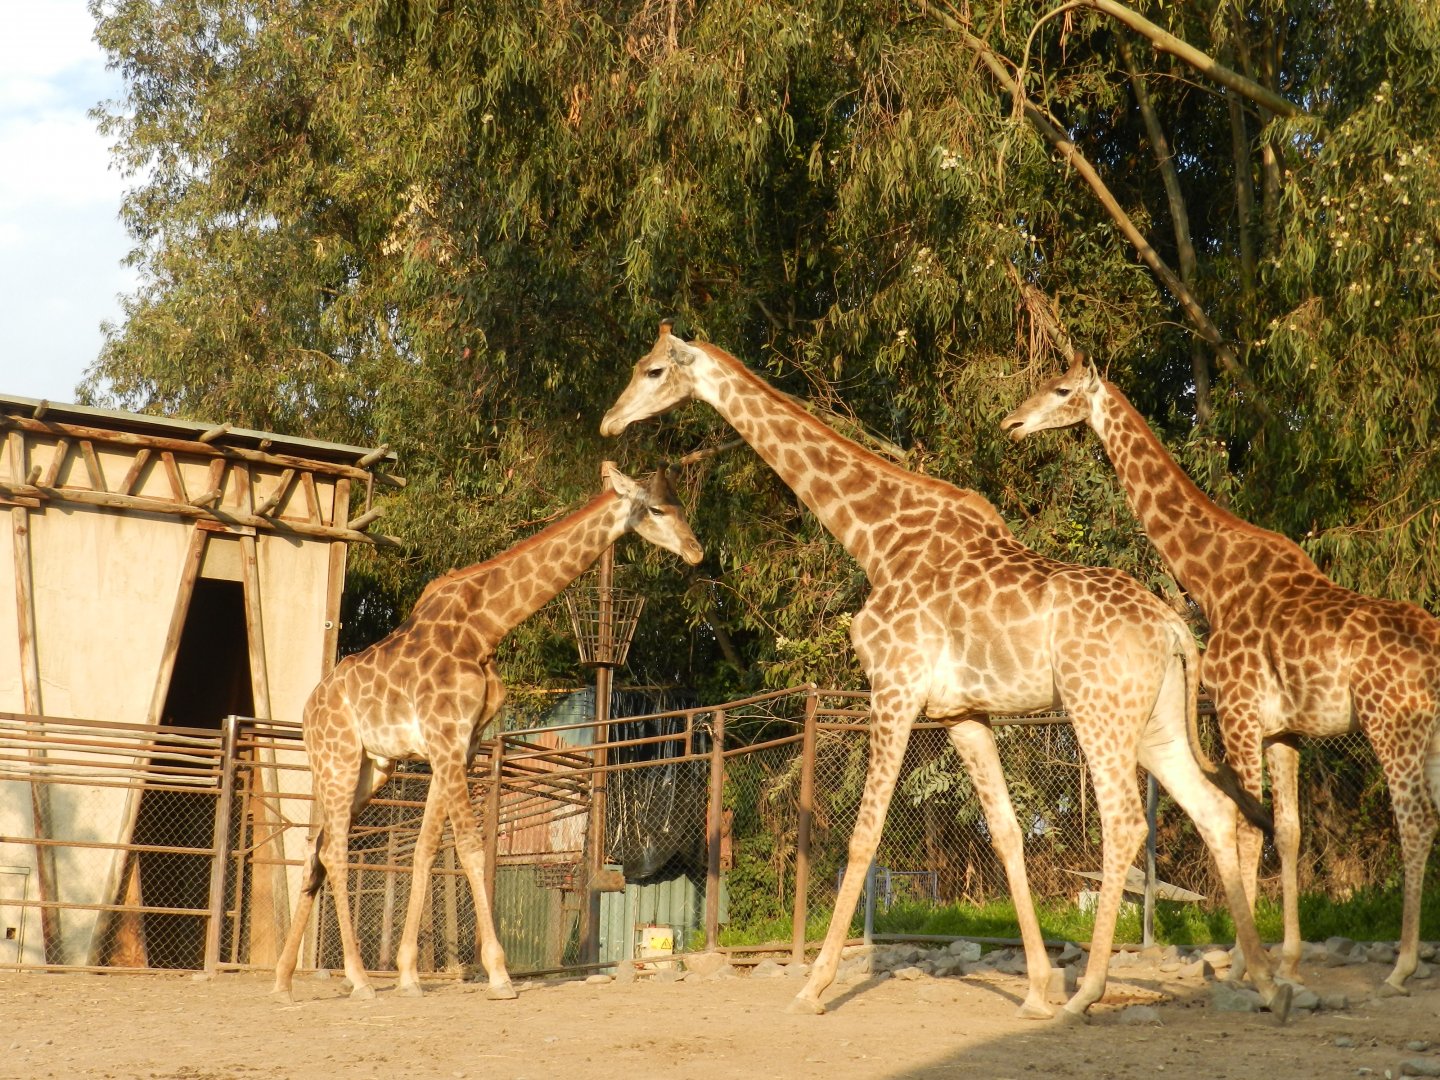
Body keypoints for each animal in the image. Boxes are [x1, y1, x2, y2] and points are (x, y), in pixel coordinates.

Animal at [271, 463, 703, 1002]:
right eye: (659, 509)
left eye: (682, 506)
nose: (696, 550)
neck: (486, 626)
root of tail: (309, 711)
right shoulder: (446, 738)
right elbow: (473, 850)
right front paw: (499, 975)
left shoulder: (459, 745)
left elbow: (426, 850)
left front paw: (410, 975)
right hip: (340, 757)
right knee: (333, 848)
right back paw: (359, 979)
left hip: (372, 766)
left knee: (317, 847)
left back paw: (284, 981)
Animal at [601, 325, 1291, 1020]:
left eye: (653, 370)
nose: (610, 421)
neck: (874, 540)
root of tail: (1174, 627)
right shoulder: (963, 714)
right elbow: (1006, 832)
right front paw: (1037, 988)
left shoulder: (894, 686)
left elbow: (864, 834)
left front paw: (814, 987)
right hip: (1157, 722)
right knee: (1215, 811)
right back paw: (1262, 982)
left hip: (1097, 710)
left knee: (1126, 821)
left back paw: (1092, 992)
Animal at [1001, 353, 1440, 993]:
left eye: (1060, 390)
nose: (1011, 423)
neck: (1214, 578)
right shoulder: (1282, 729)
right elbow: (1287, 830)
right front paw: (1286, 961)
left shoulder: (1237, 708)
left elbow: (1245, 827)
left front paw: (1240, 964)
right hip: (1425, 733)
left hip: (1393, 725)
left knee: (1415, 820)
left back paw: (1402, 966)